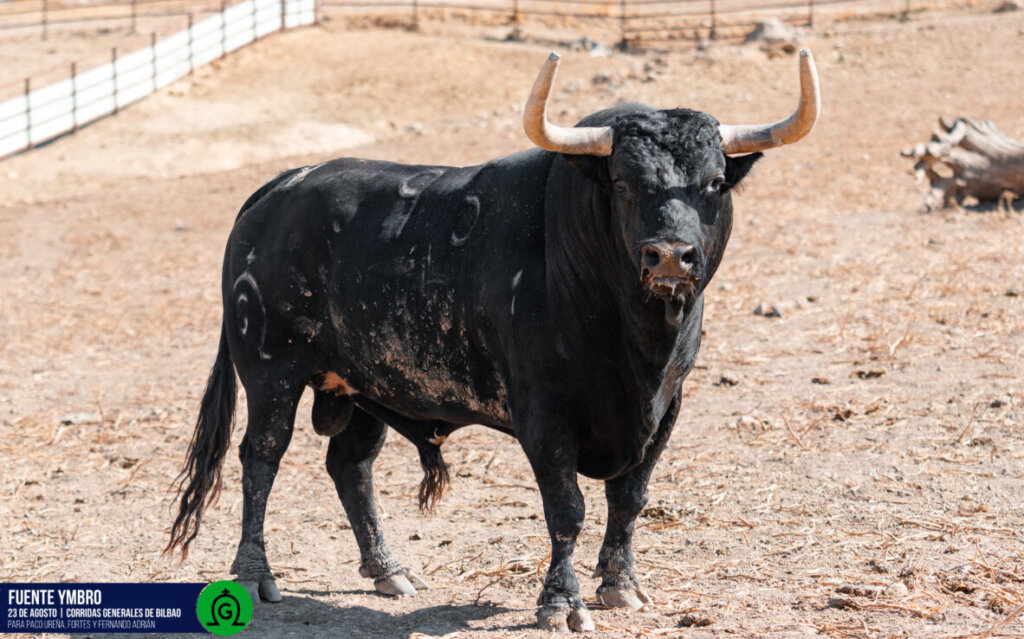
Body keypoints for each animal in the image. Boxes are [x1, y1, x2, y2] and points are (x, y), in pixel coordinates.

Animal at [168, 50, 820, 631]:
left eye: (715, 182)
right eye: (623, 183)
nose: (669, 256)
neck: (635, 345)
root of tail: (283, 186)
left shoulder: (666, 408)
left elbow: (630, 498)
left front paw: (621, 585)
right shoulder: (544, 412)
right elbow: (567, 508)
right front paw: (561, 603)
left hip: (362, 385)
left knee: (350, 466)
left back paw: (388, 569)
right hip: (269, 371)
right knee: (261, 456)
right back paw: (255, 574)